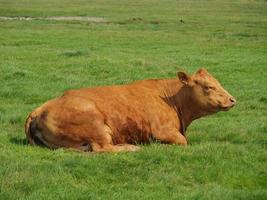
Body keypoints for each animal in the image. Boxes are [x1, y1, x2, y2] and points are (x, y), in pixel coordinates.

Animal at [25, 68, 237, 152]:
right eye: (208, 87)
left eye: (218, 82)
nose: (232, 99)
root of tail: (40, 109)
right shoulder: (163, 130)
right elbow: (182, 142)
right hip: (97, 126)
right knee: (104, 149)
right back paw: (132, 148)